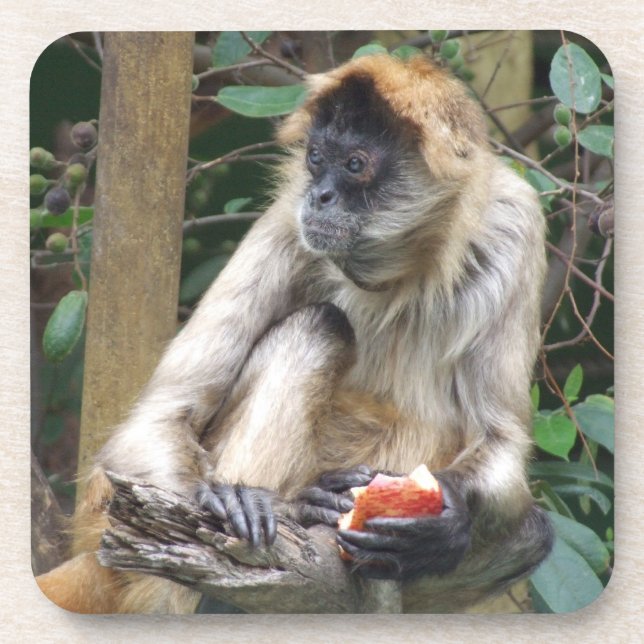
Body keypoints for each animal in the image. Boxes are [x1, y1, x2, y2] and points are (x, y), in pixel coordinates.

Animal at [36, 53, 553, 614]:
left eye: (355, 164)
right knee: (317, 325)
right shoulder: (289, 217)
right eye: (316, 158)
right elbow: (159, 417)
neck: (398, 276)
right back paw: (290, 515)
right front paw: (235, 500)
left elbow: (501, 441)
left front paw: (446, 525)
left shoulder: (514, 223)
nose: (320, 194)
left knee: (535, 533)